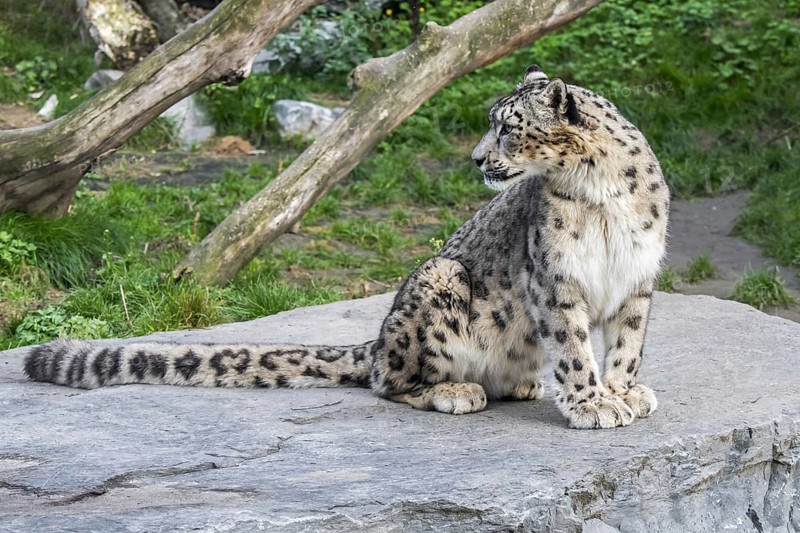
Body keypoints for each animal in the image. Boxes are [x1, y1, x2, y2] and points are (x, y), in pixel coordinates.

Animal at [24, 66, 669, 429]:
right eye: (493, 123)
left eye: (508, 127)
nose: (476, 158)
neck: (602, 194)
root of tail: (378, 340)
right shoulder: (558, 281)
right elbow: (575, 347)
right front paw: (592, 403)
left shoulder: (638, 279)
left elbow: (627, 345)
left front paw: (623, 392)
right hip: (438, 285)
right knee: (390, 383)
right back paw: (456, 391)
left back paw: (522, 382)